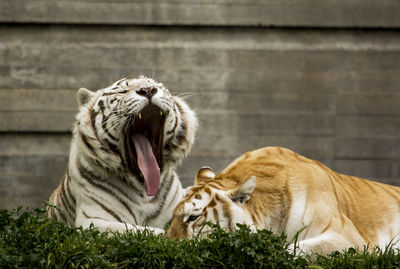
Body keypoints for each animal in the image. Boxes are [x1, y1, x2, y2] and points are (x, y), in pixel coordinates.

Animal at [47, 75, 198, 232]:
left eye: (158, 86)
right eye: (123, 91)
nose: (148, 90)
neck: (145, 190)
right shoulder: (92, 220)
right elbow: (149, 231)